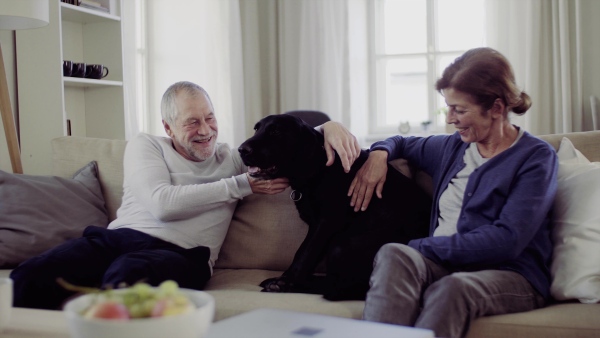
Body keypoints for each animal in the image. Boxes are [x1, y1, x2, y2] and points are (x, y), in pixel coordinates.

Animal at [237, 115, 428, 300]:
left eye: (276, 131)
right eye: (256, 129)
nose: (241, 150)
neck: (317, 167)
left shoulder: (326, 223)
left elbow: (304, 253)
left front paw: (286, 281)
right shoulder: (316, 227)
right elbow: (305, 253)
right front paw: (286, 277)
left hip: (343, 243)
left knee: (338, 289)